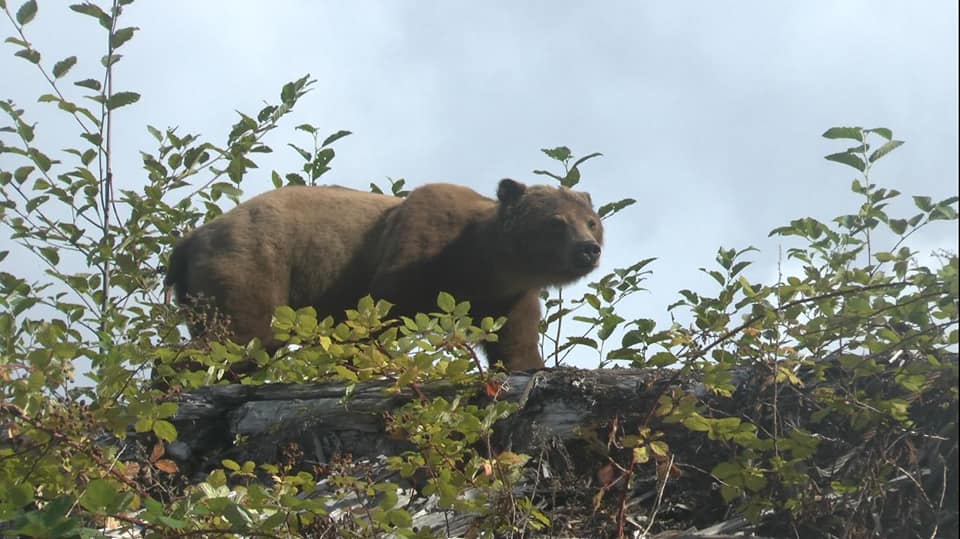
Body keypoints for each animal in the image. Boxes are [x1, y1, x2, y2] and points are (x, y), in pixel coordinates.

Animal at [164, 178, 603, 372]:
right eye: (556, 223)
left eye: (592, 221)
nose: (588, 249)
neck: (482, 262)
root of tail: (189, 239)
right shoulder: (415, 249)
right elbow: (378, 316)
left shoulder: (506, 297)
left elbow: (515, 342)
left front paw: (531, 366)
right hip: (253, 259)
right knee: (241, 332)